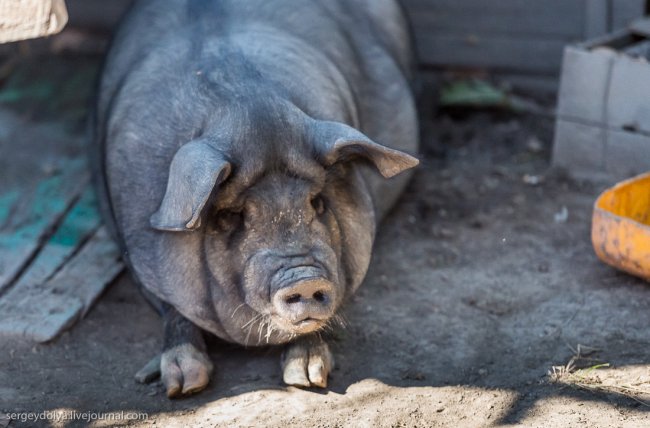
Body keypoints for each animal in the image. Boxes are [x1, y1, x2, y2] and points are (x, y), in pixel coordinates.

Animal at [92, 0, 420, 398]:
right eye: (233, 216)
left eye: (317, 202)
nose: (303, 279)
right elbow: (174, 309)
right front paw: (184, 385)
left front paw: (307, 377)